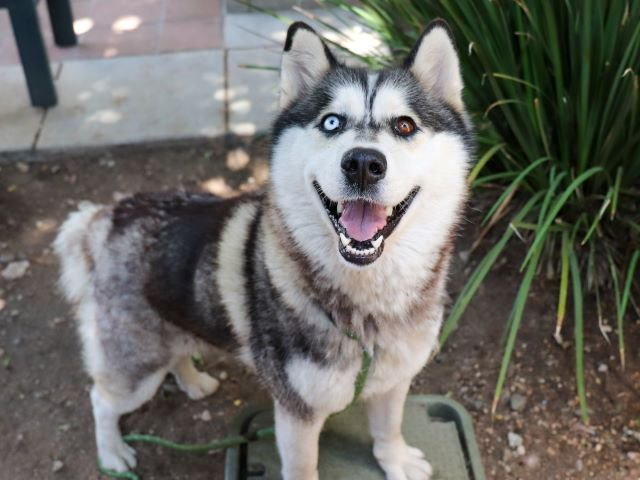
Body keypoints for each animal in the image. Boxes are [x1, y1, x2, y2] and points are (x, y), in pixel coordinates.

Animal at [54, 19, 471, 480]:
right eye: (331, 122)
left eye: (404, 126)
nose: (363, 163)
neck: (368, 306)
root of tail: (108, 215)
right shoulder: (296, 410)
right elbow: (303, 467)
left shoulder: (394, 381)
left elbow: (389, 427)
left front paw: (395, 459)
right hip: (135, 366)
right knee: (102, 399)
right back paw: (112, 453)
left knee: (175, 353)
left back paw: (194, 381)